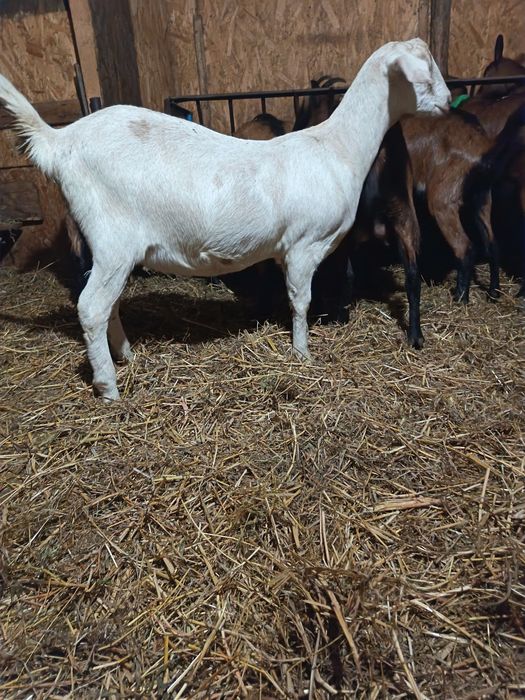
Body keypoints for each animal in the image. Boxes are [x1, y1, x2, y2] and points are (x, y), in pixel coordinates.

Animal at [0, 39, 450, 399]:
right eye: (426, 70)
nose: (448, 102)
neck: (338, 147)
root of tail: (60, 142)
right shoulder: (304, 244)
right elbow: (300, 302)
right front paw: (303, 354)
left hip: (109, 248)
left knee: (106, 305)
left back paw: (125, 355)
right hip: (113, 237)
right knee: (91, 307)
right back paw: (109, 387)